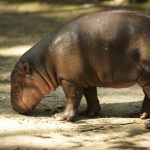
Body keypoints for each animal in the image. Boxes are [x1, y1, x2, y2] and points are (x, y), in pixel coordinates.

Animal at [11, 9, 150, 121]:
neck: (43, 63)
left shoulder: (69, 79)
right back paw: (140, 115)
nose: (13, 108)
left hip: (146, 75)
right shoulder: (87, 77)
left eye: (17, 86)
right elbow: (91, 96)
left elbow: (72, 97)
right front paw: (88, 113)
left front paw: (61, 117)